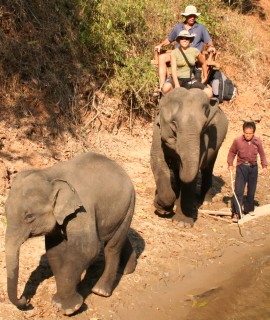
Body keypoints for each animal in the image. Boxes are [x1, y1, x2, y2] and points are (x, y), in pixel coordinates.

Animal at [5, 152, 137, 316]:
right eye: (5, 211)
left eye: (29, 216)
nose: (26, 300)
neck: (50, 174)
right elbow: (55, 250)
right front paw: (63, 299)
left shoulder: (82, 210)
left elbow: (87, 250)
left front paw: (69, 308)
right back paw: (127, 270)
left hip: (129, 204)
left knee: (112, 247)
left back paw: (101, 291)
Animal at [151, 87, 229, 228]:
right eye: (174, 125)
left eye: (204, 126)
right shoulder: (157, 131)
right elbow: (158, 162)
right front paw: (163, 208)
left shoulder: (204, 140)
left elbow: (191, 173)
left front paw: (182, 223)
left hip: (218, 144)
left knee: (208, 167)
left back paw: (206, 201)